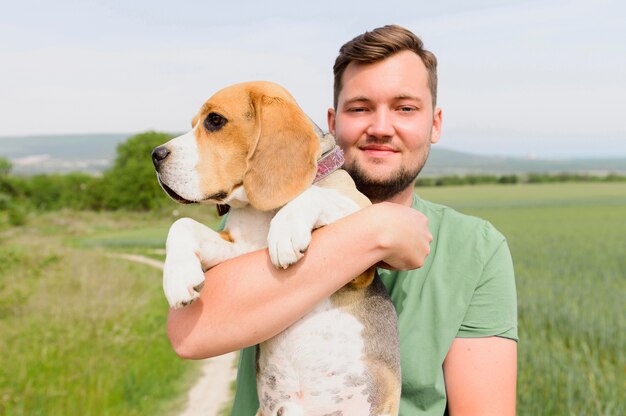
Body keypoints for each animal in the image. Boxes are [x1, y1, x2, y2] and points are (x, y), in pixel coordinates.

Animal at [151, 82, 400, 416]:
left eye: (215, 121)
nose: (155, 155)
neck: (264, 209)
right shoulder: (241, 251)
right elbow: (182, 224)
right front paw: (178, 278)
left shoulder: (363, 253)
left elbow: (313, 196)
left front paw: (286, 230)